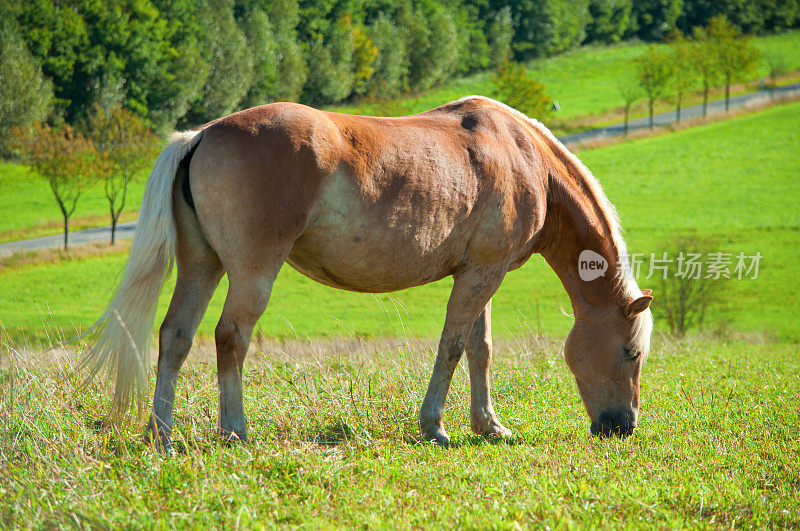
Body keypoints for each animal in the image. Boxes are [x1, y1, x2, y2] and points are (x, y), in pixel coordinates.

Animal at [84, 95, 652, 448]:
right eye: (632, 352)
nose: (623, 426)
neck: (522, 156)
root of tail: (201, 135)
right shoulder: (481, 275)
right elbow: (453, 345)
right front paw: (435, 426)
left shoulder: (479, 273)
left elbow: (479, 349)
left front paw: (489, 426)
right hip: (251, 273)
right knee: (231, 337)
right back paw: (235, 430)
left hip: (202, 266)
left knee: (175, 336)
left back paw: (160, 432)